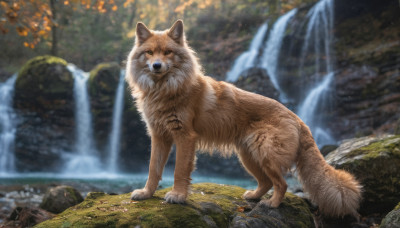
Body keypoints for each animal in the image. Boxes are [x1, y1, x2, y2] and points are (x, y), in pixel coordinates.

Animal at [126, 19, 362, 217]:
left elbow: (179, 171)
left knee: (282, 183)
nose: (156, 66)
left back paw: (272, 204)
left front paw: (178, 196)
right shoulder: (159, 137)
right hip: (249, 156)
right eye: (149, 53)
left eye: (167, 52)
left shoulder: (185, 137)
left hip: (264, 153)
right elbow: (153, 169)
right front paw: (146, 193)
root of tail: (298, 119)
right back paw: (255, 196)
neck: (166, 89)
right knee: (267, 182)